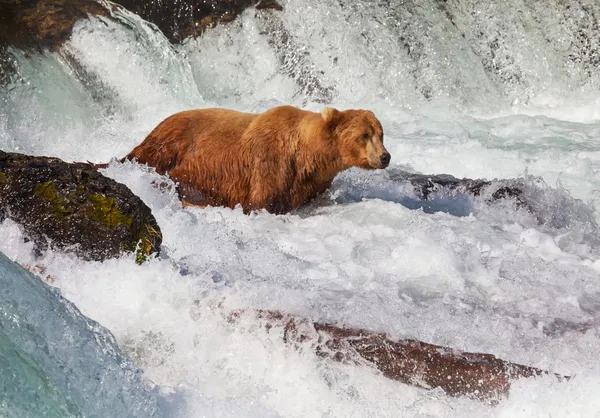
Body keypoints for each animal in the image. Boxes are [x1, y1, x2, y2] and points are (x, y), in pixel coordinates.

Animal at [125, 104, 392, 216]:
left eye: (381, 133)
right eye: (364, 135)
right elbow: (262, 200)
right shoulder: (269, 162)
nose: (385, 156)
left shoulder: (314, 183)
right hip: (168, 149)